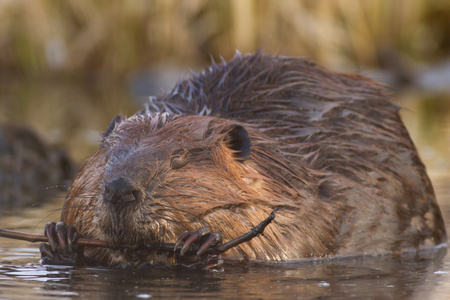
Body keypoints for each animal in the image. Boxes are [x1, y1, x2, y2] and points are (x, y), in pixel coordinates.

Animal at [39, 51, 446, 270]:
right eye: (109, 154)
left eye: (179, 159)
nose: (120, 190)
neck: (283, 165)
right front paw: (60, 237)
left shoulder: (323, 194)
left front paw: (198, 245)